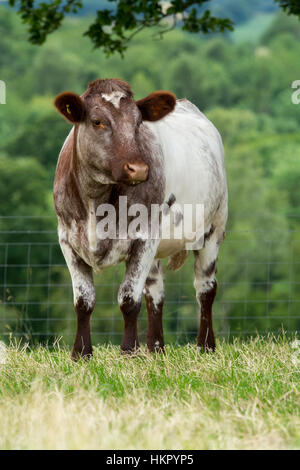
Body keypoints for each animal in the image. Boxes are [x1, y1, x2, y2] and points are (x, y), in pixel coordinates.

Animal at [54, 78, 227, 360]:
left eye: (138, 123)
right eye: (97, 121)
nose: (138, 169)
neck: (95, 201)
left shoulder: (144, 237)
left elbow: (128, 299)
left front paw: (128, 352)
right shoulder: (67, 239)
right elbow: (84, 301)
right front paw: (81, 353)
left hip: (214, 228)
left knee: (205, 288)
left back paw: (205, 346)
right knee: (155, 293)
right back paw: (155, 348)